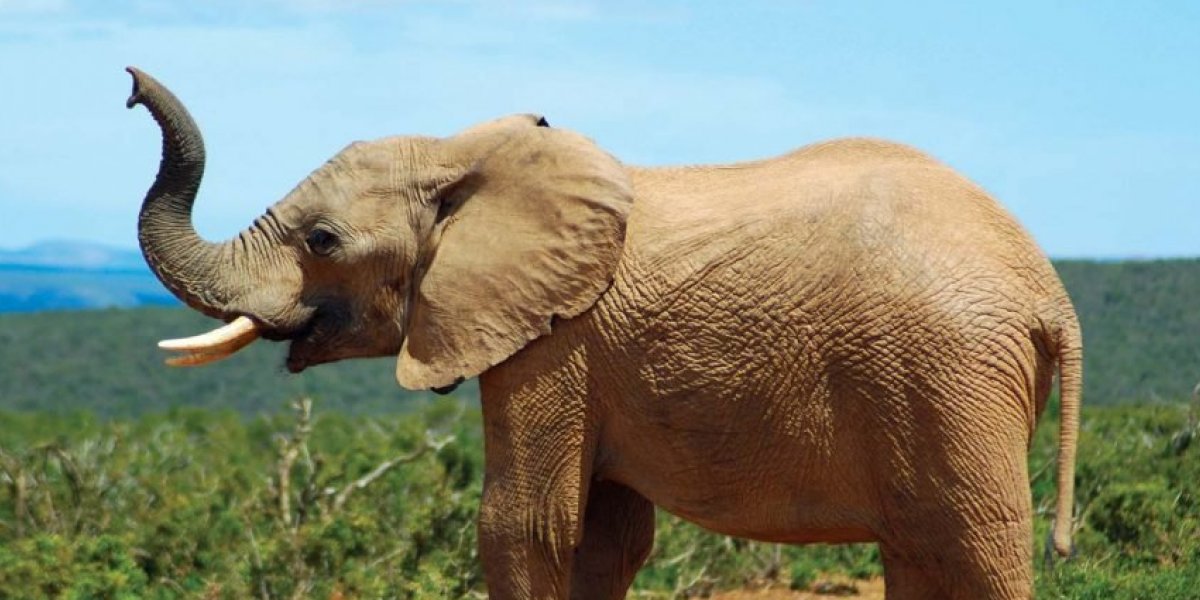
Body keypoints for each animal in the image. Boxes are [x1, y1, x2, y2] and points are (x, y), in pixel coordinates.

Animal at [125, 67, 1081, 599]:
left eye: (322, 241)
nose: (130, 84)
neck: (464, 152)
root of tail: (1049, 292)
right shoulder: (587, 353)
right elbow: (602, 540)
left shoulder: (555, 342)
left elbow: (523, 526)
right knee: (922, 553)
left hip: (948, 375)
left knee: (980, 545)